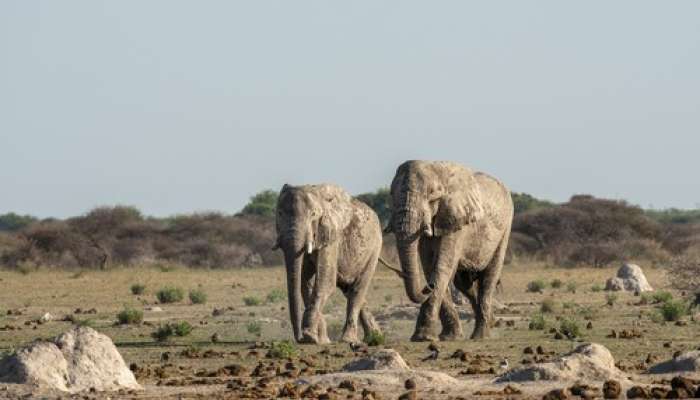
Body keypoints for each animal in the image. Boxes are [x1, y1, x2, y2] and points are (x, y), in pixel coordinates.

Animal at [274, 184, 382, 344]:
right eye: (279, 213)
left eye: (313, 214)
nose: (299, 339)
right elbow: (304, 281)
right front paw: (321, 339)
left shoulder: (331, 237)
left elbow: (325, 283)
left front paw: (310, 337)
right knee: (349, 289)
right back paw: (375, 336)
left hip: (374, 249)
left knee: (357, 289)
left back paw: (348, 339)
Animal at [386, 159, 512, 340]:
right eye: (391, 194)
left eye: (432, 196)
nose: (428, 287)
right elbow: (429, 266)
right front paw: (449, 337)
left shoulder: (457, 220)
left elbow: (442, 266)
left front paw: (423, 337)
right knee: (464, 283)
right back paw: (490, 323)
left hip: (504, 230)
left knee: (488, 278)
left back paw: (481, 336)